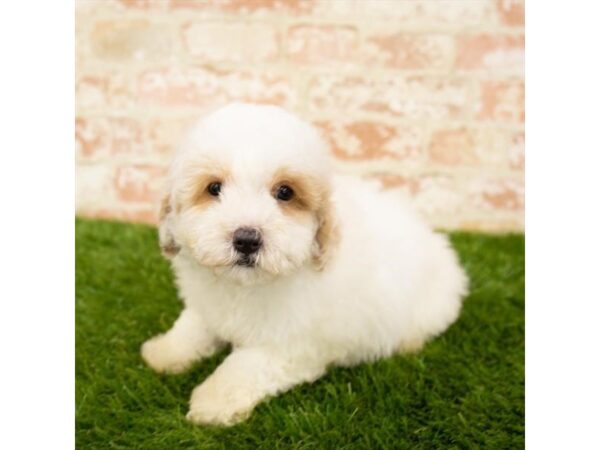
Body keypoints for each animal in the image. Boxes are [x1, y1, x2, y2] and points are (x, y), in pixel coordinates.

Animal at [141, 103, 468, 428]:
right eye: (213, 188)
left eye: (285, 192)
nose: (247, 240)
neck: (245, 286)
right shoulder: (207, 306)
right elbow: (192, 327)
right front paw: (164, 352)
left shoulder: (293, 345)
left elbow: (244, 366)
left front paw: (213, 402)